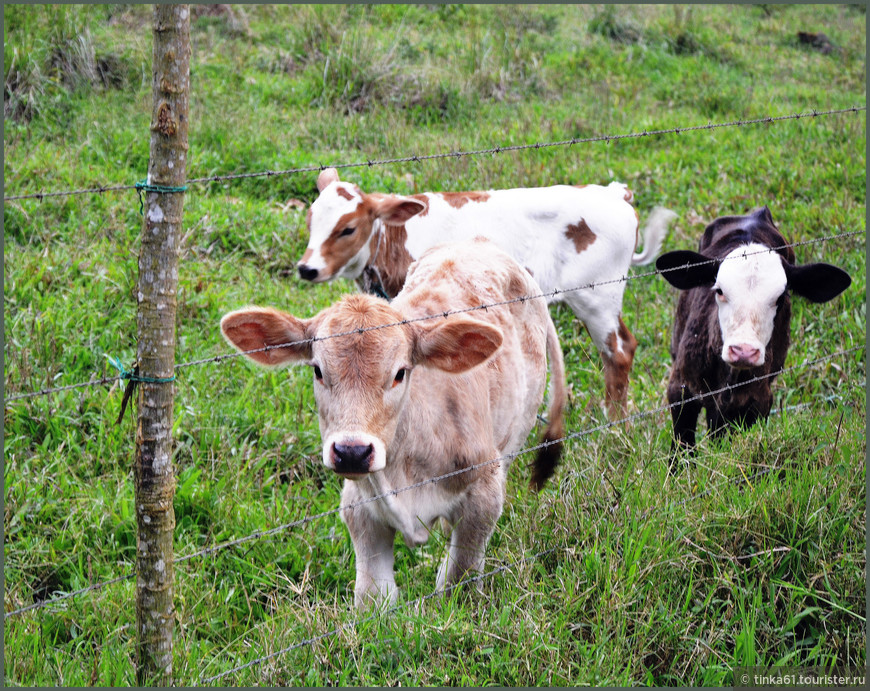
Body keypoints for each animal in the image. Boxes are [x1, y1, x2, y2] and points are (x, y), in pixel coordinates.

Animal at [221, 241, 568, 608]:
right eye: (317, 370)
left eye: (400, 372)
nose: (352, 452)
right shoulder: (361, 510)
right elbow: (373, 596)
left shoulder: (484, 491)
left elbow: (458, 580)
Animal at [296, 166, 676, 422]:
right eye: (310, 221)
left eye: (347, 229)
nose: (306, 268)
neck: (394, 240)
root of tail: (614, 193)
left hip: (597, 298)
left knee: (619, 352)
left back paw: (615, 425)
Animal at [660, 205, 852, 452]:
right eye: (719, 291)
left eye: (781, 298)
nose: (744, 351)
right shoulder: (680, 388)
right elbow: (682, 446)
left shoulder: (758, 402)